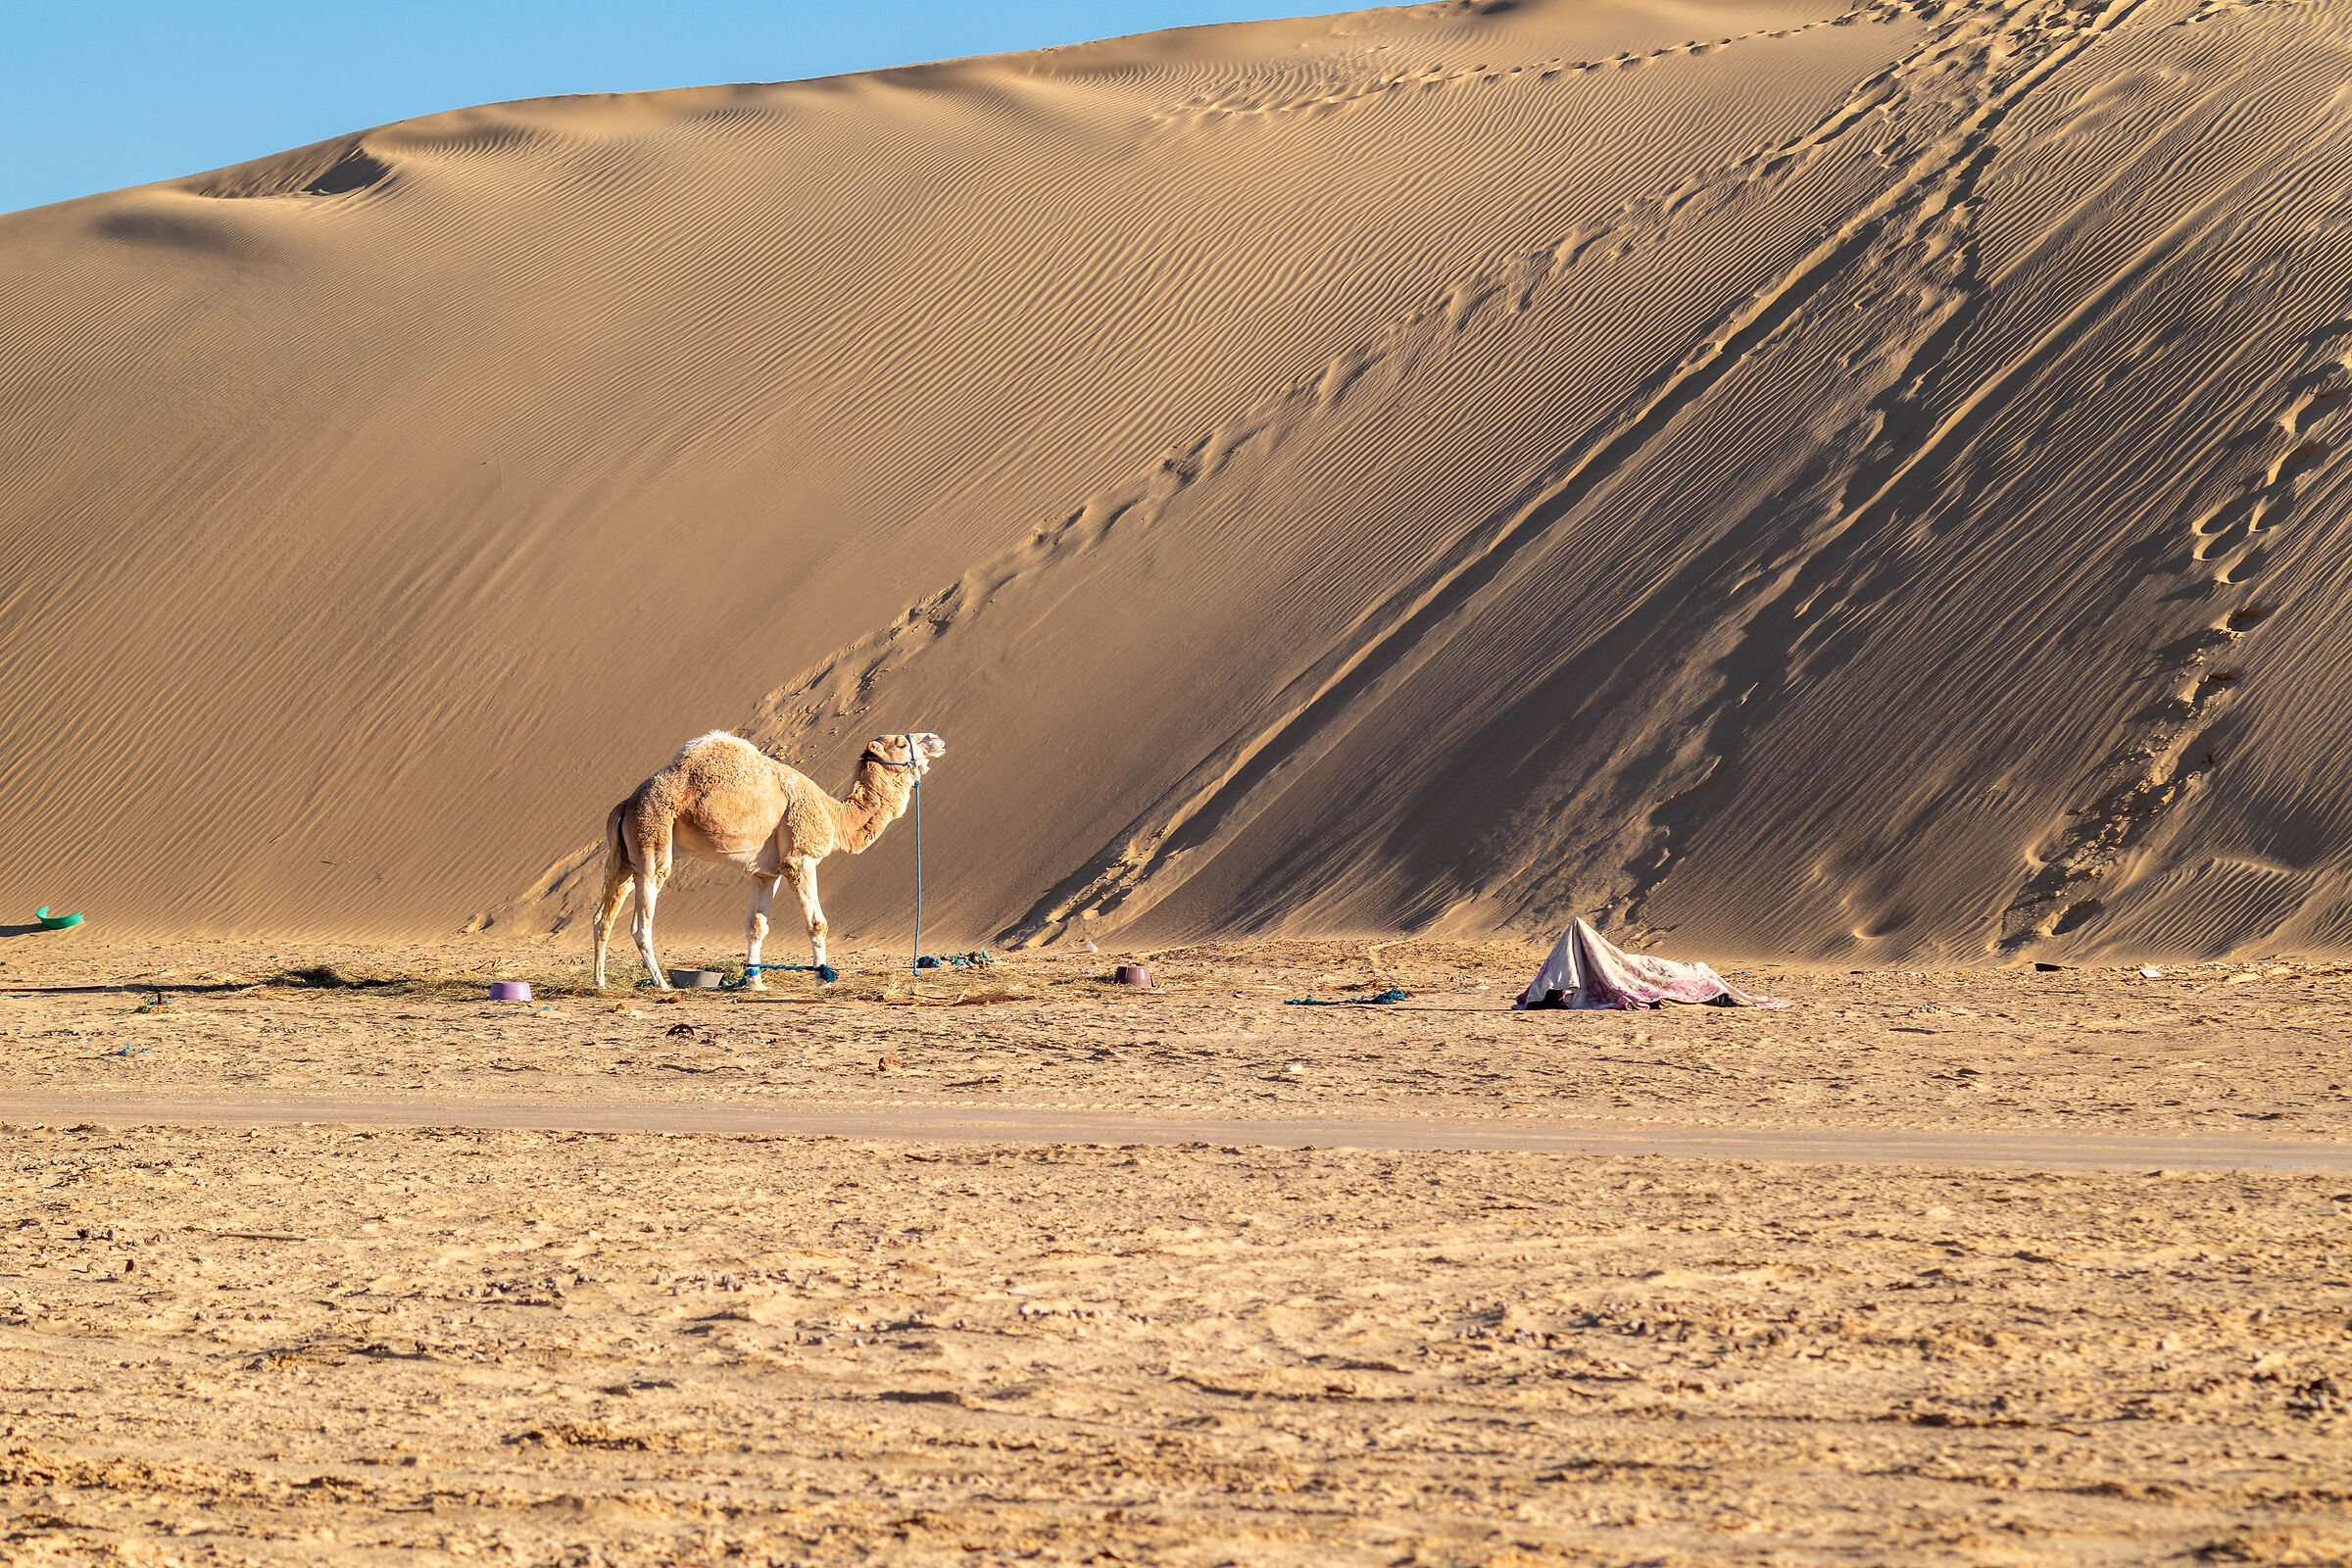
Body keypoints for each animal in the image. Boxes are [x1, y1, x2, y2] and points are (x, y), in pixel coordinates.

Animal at [592, 730, 945, 991]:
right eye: (901, 743)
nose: (936, 738)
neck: (834, 816)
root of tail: (626, 803)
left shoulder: (766, 872)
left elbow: (756, 926)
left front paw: (755, 983)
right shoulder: (800, 859)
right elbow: (817, 922)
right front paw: (823, 980)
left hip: (627, 857)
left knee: (602, 917)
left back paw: (600, 981)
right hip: (653, 838)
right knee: (641, 923)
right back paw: (661, 984)